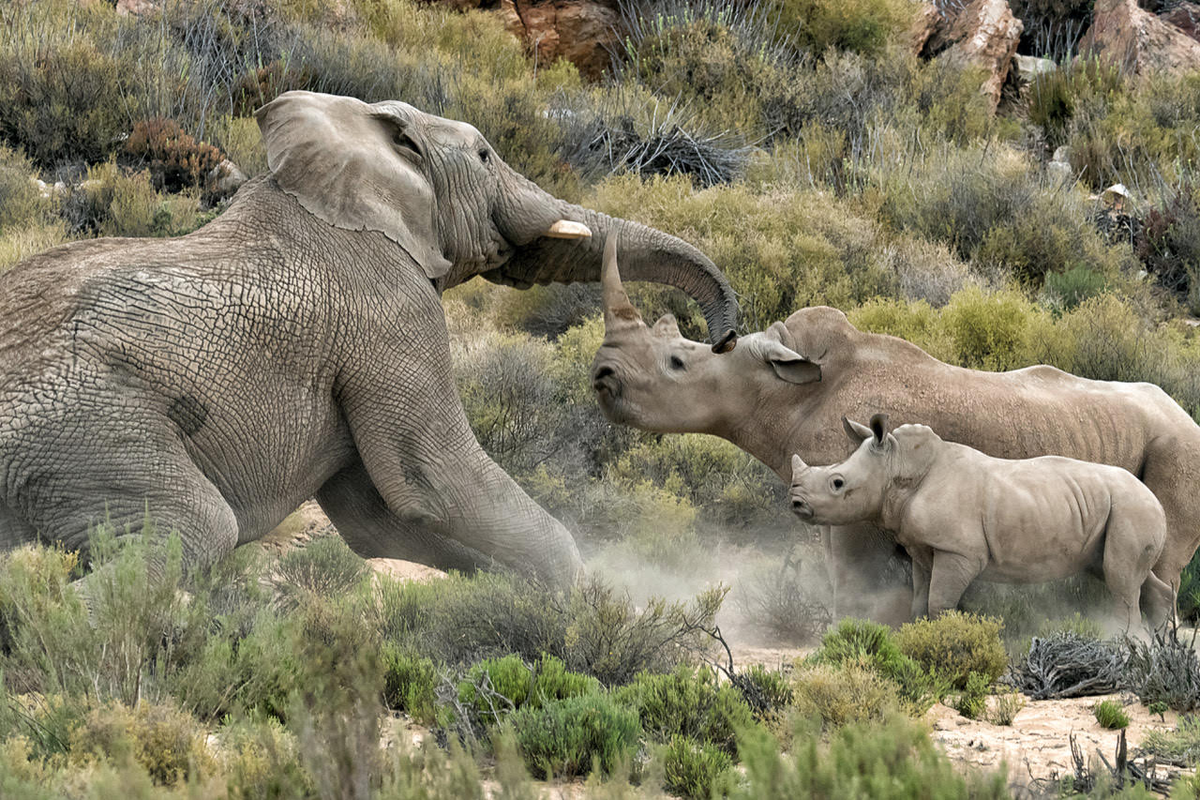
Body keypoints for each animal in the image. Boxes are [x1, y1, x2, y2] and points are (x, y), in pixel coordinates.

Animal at [0, 90, 739, 585]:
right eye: (484, 155)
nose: (726, 340)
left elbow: (380, 518)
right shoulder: (393, 313)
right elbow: (437, 483)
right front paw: (576, 607)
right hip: (83, 429)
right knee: (197, 528)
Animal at [787, 417, 1171, 633]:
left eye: (837, 483)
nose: (795, 503)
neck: (899, 468)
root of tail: (1157, 500)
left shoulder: (959, 551)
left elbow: (939, 602)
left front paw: (945, 640)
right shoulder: (924, 548)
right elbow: (920, 600)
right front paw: (917, 637)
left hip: (1131, 508)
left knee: (1120, 580)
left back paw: (1125, 643)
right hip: (1121, 509)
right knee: (1122, 574)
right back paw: (1159, 641)